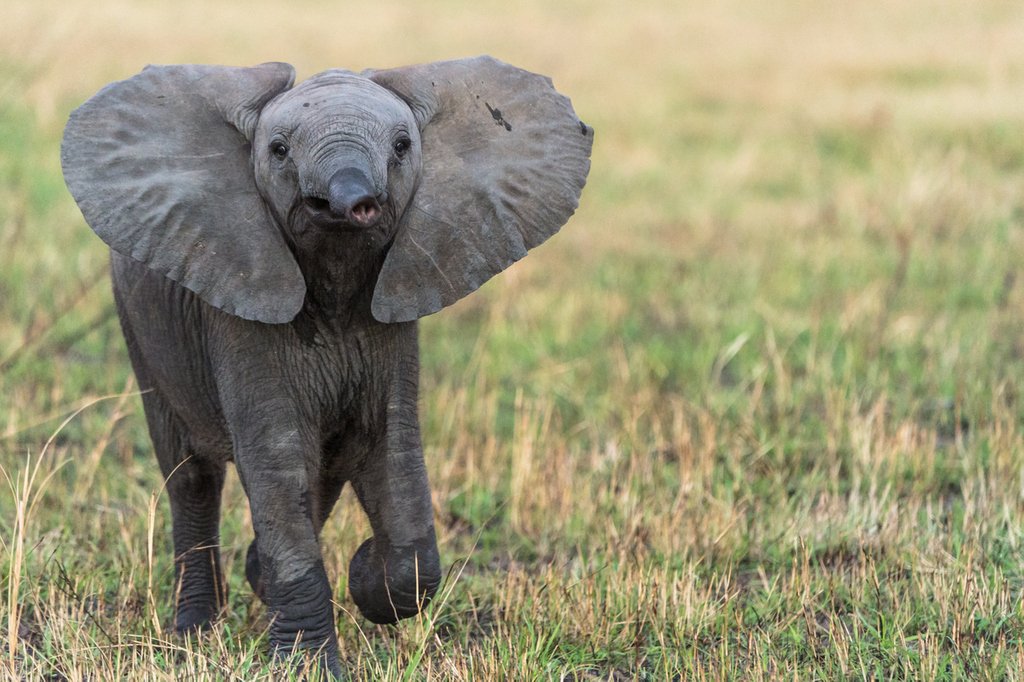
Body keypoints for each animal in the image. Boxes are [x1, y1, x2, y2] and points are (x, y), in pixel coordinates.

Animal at [60, 57, 592, 676]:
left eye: (403, 146)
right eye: (279, 150)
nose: (350, 203)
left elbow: (388, 451)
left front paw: (358, 574)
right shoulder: (241, 315)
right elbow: (277, 459)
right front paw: (308, 666)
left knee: (325, 470)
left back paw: (256, 577)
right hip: (140, 327)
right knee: (191, 473)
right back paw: (193, 632)